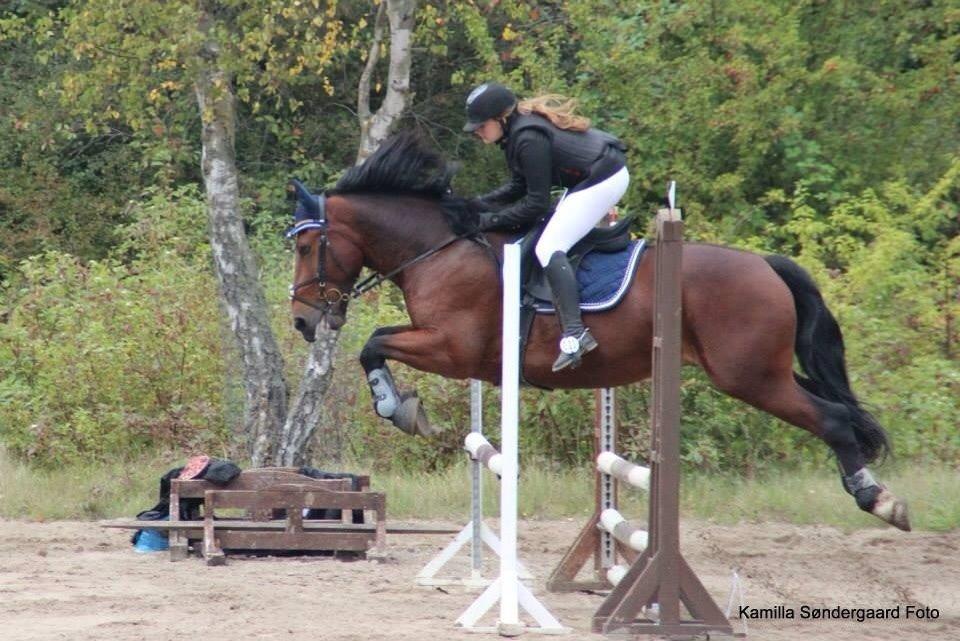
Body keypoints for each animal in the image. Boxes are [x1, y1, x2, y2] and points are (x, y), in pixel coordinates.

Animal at [284, 131, 908, 528]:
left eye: (308, 246)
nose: (302, 320)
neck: (438, 248)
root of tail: (766, 265)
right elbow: (375, 344)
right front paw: (402, 407)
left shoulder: (452, 349)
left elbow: (373, 344)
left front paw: (398, 409)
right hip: (763, 372)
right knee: (836, 410)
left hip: (749, 377)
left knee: (832, 419)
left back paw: (879, 501)